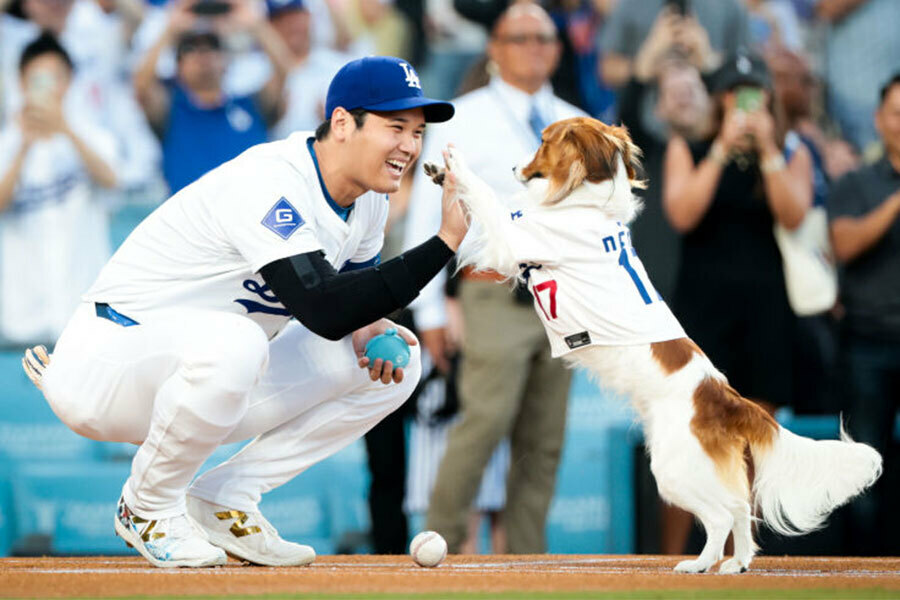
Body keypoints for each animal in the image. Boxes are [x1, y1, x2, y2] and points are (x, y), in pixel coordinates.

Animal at [426, 116, 884, 572]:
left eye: (543, 142)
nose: (515, 167)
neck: (586, 203)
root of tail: (727, 397)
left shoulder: (512, 239)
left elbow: (486, 197)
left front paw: (456, 165)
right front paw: (439, 173)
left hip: (672, 468)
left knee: (720, 515)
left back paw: (699, 564)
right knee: (739, 508)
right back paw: (735, 564)